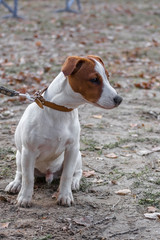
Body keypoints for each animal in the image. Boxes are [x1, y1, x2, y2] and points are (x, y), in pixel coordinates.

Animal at [5, 55, 122, 207]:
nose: (119, 99)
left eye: (108, 77)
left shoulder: (72, 149)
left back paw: (74, 182)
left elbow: (67, 175)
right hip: (20, 155)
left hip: (78, 155)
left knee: (77, 172)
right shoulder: (28, 151)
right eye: (94, 79)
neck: (62, 110)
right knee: (20, 173)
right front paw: (24, 198)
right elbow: (28, 178)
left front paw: (65, 195)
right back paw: (16, 184)